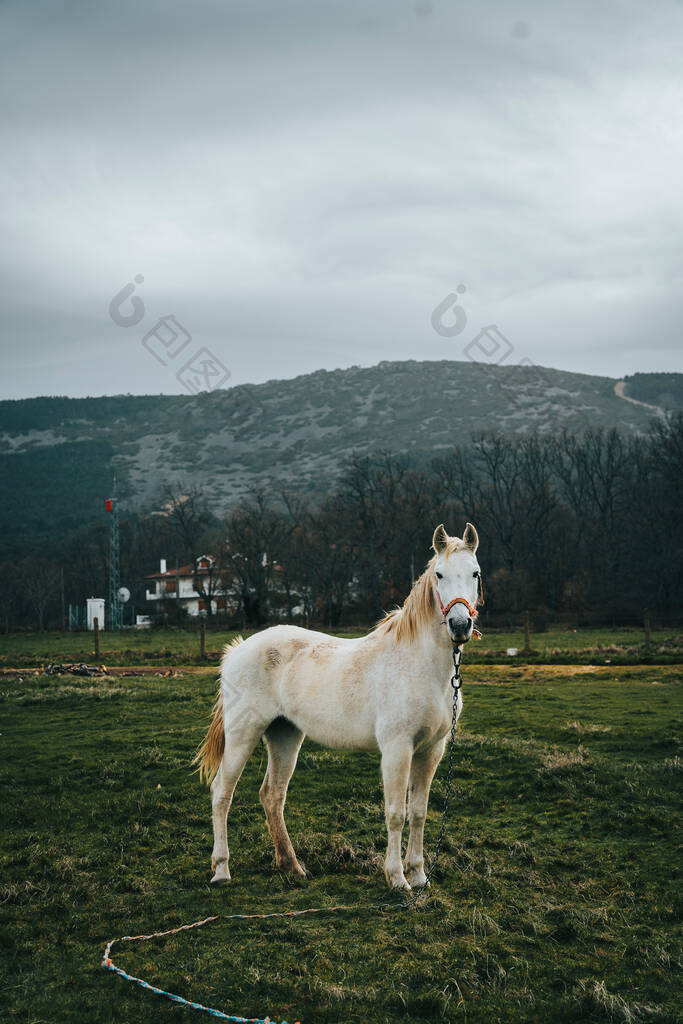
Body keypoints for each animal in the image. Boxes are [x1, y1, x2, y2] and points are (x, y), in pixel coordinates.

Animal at [194, 522, 483, 891]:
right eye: (440, 575)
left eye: (475, 573)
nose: (460, 626)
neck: (420, 666)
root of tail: (237, 651)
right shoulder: (397, 749)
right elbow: (396, 813)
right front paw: (397, 878)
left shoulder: (431, 750)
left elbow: (419, 812)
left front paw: (419, 876)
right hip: (242, 734)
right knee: (222, 793)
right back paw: (221, 869)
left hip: (285, 735)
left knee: (272, 795)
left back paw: (292, 866)